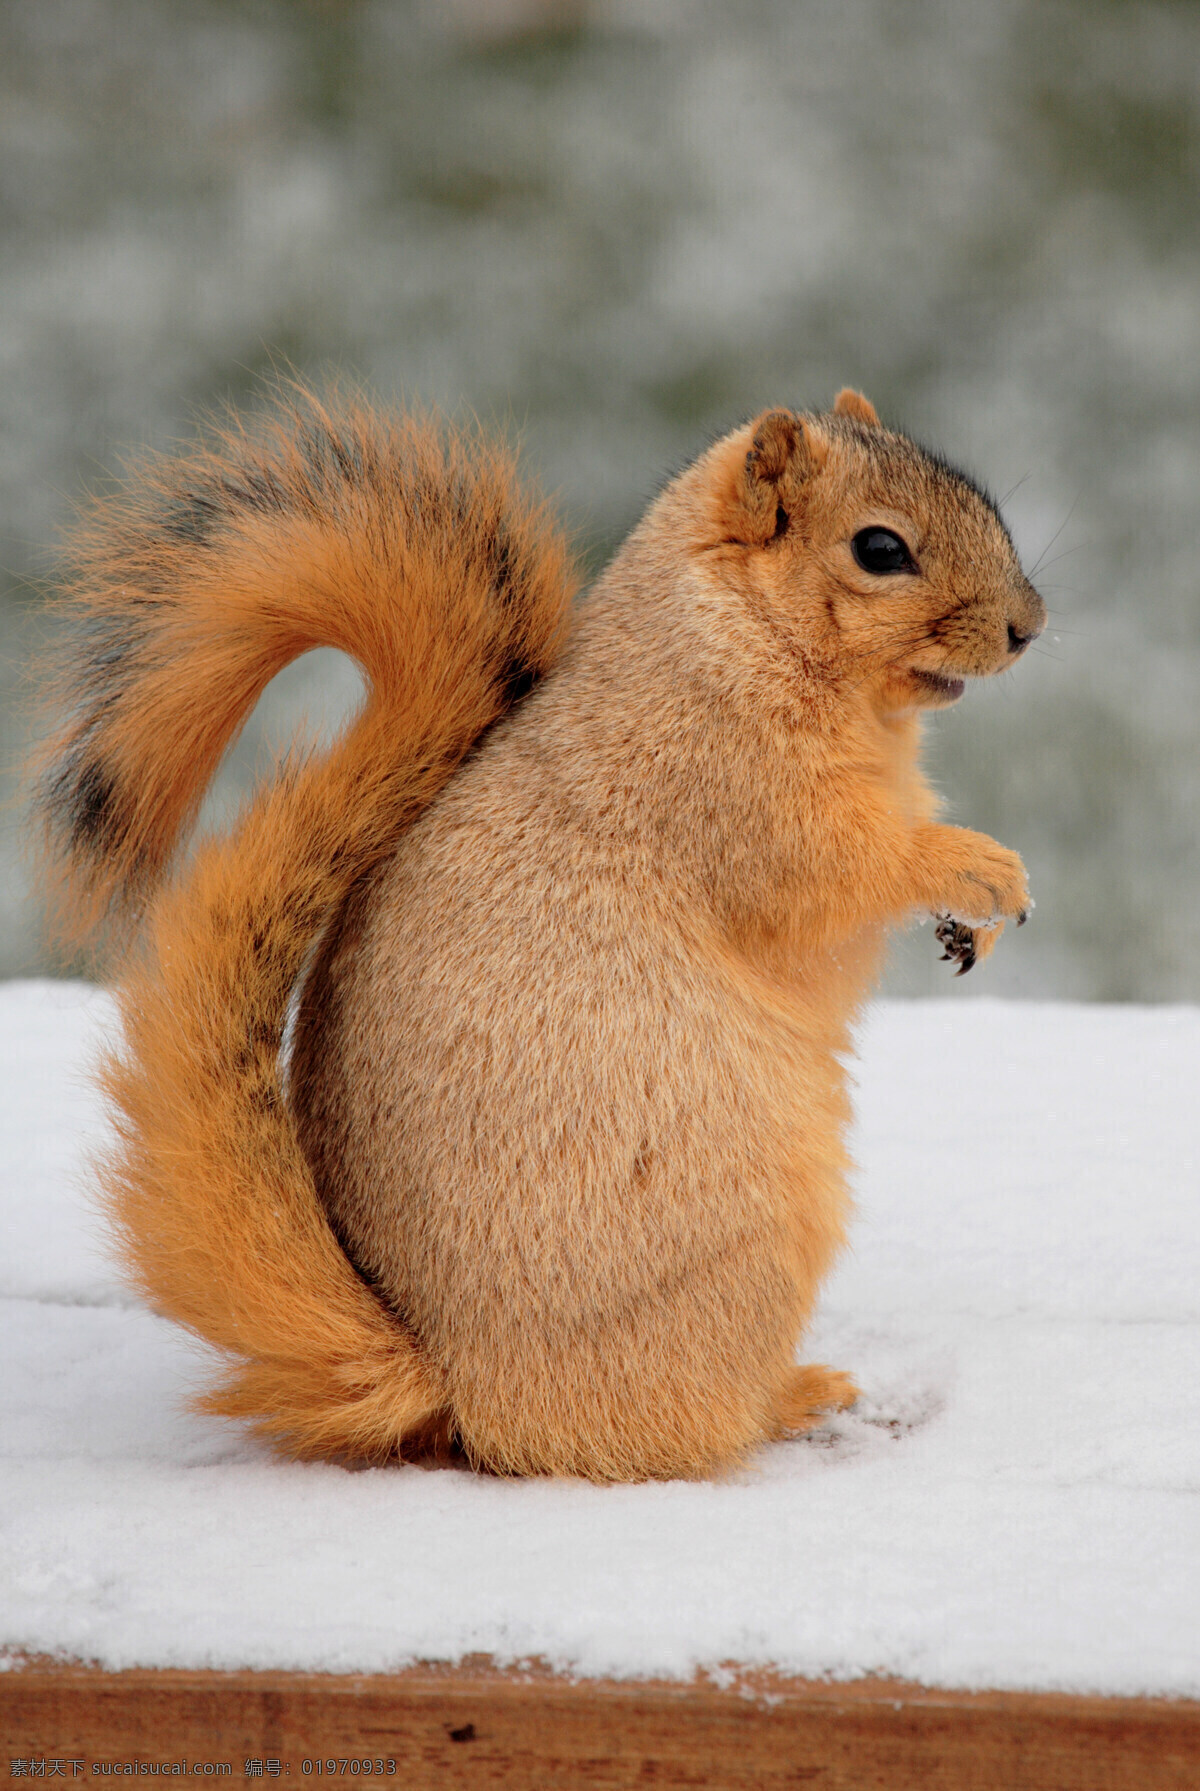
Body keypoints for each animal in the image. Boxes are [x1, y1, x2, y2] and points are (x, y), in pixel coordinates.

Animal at [35, 388, 1045, 1482]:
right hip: (728, 1255)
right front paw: (981, 868)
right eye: (879, 548)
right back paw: (788, 1398)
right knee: (649, 1432)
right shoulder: (733, 796)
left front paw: (975, 927)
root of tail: (447, 1380)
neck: (736, 631)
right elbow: (843, 868)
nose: (1029, 628)